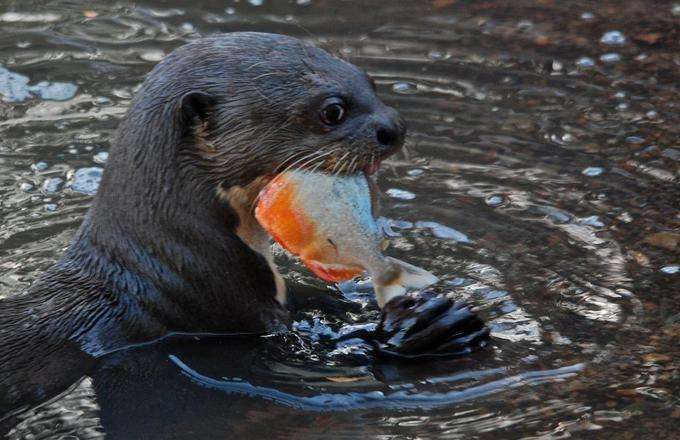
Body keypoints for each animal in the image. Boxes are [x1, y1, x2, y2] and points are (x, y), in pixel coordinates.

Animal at [0, 32, 488, 418]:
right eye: (332, 110)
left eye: (369, 82)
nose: (395, 127)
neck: (175, 265)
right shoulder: (222, 313)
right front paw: (426, 327)